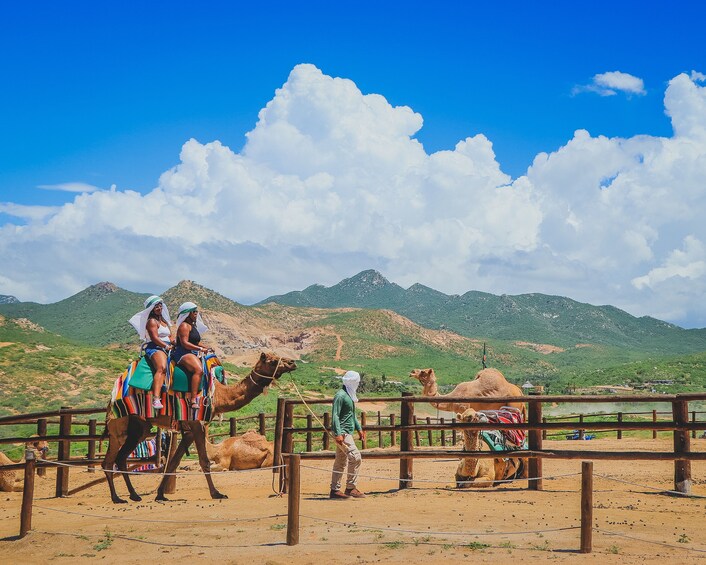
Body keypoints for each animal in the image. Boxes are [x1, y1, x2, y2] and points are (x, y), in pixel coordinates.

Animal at [102, 352, 294, 502]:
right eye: (272, 361)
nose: (292, 362)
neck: (218, 396)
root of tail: (111, 398)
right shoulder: (197, 423)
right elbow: (204, 461)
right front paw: (217, 493)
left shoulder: (188, 431)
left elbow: (173, 463)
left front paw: (160, 495)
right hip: (124, 426)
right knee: (114, 459)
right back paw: (122, 497)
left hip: (132, 430)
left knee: (115, 459)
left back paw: (127, 496)